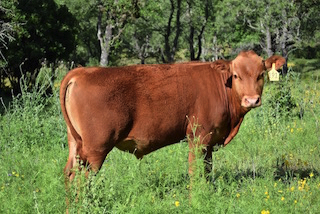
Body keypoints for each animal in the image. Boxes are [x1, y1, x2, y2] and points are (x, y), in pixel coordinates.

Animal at [60, 51, 284, 180]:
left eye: (261, 74)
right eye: (236, 75)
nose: (251, 100)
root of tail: (80, 72)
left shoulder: (210, 141)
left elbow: (207, 170)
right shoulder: (198, 137)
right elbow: (195, 171)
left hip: (76, 143)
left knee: (70, 173)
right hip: (96, 148)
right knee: (82, 178)